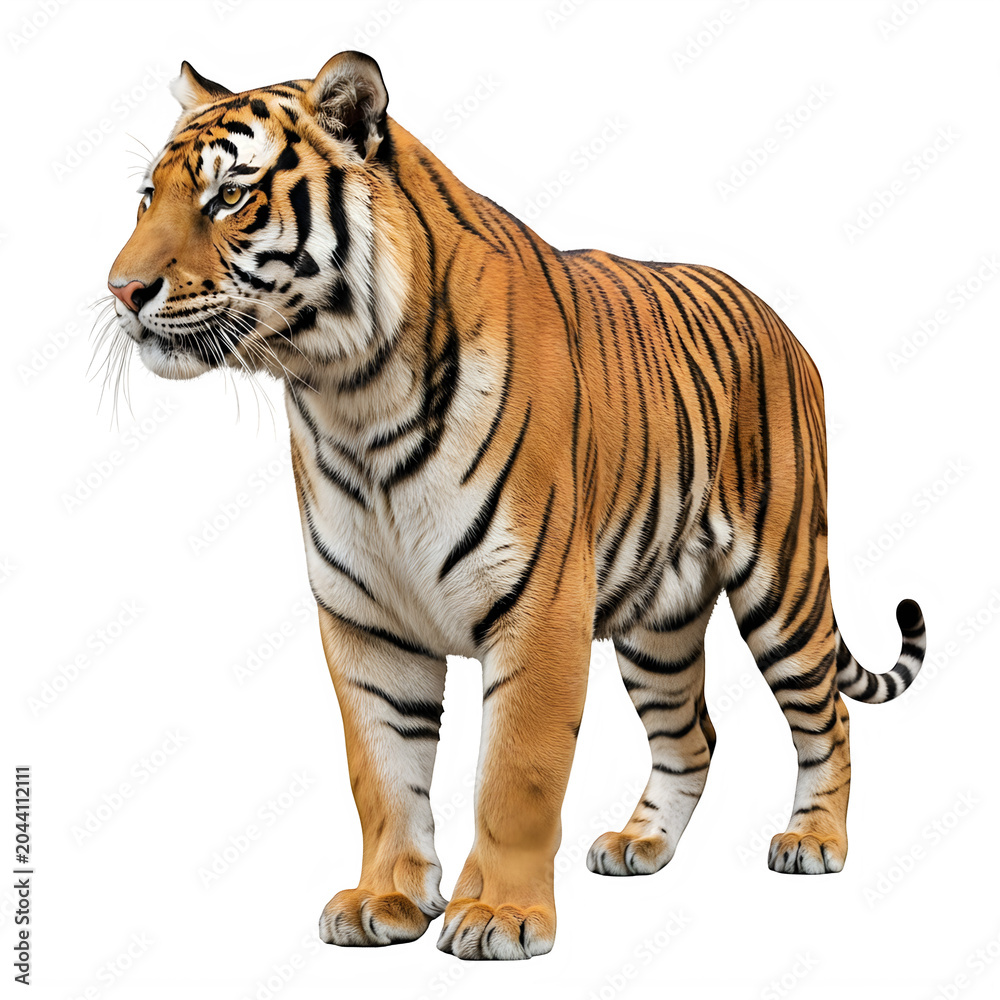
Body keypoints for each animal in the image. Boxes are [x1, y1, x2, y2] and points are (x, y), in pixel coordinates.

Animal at [105, 51, 926, 961]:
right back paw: (640, 844)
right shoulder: (365, 623)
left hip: (783, 580)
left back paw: (814, 840)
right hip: (658, 624)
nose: (121, 289)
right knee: (693, 735)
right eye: (148, 196)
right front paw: (384, 899)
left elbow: (516, 773)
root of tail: (777, 318)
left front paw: (498, 915)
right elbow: (381, 773)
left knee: (827, 715)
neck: (349, 395)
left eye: (229, 196)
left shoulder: (541, 605)